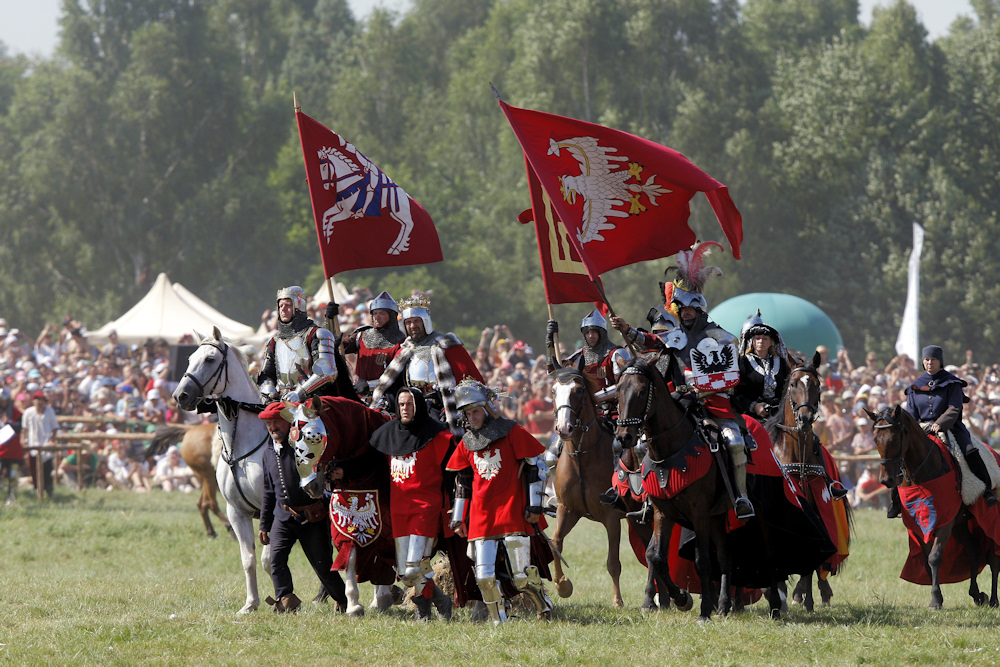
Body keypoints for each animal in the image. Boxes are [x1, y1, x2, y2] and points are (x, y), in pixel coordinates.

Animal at [173, 328, 272, 616]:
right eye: (189, 358)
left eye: (209, 359)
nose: (180, 396)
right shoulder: (237, 512)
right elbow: (249, 559)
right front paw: (251, 604)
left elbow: (268, 558)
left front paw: (284, 600)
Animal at [764, 354, 852, 612]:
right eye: (793, 384)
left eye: (817, 385)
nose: (805, 418)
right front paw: (779, 595)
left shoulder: (815, 511)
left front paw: (808, 600)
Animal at [868, 404, 1000, 608]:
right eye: (875, 439)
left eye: (895, 438)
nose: (886, 479)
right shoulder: (919, 525)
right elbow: (926, 559)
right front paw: (936, 596)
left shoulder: (945, 522)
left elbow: (935, 557)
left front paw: (936, 599)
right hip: (961, 525)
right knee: (973, 548)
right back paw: (977, 594)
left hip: (989, 520)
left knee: (993, 559)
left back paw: (993, 598)